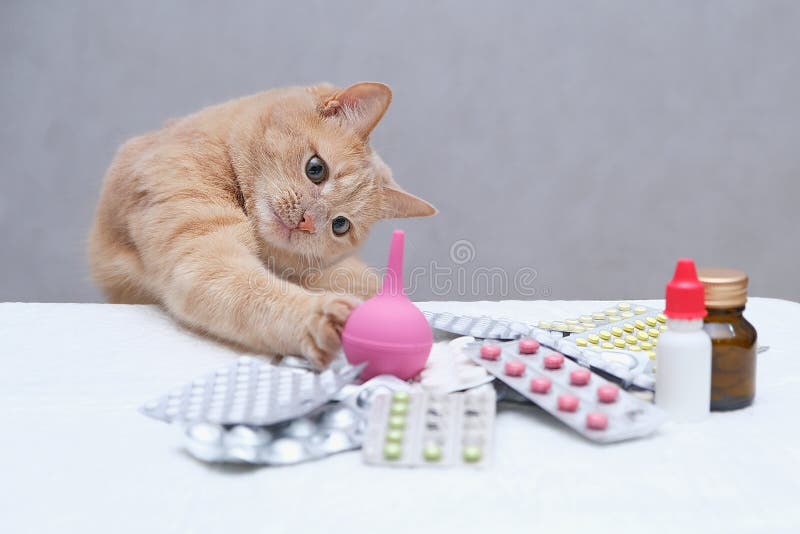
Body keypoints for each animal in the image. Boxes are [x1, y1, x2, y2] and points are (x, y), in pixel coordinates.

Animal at [88, 82, 434, 368]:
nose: (307, 222)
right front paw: (315, 316)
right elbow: (255, 292)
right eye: (316, 169)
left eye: (340, 225)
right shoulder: (201, 253)